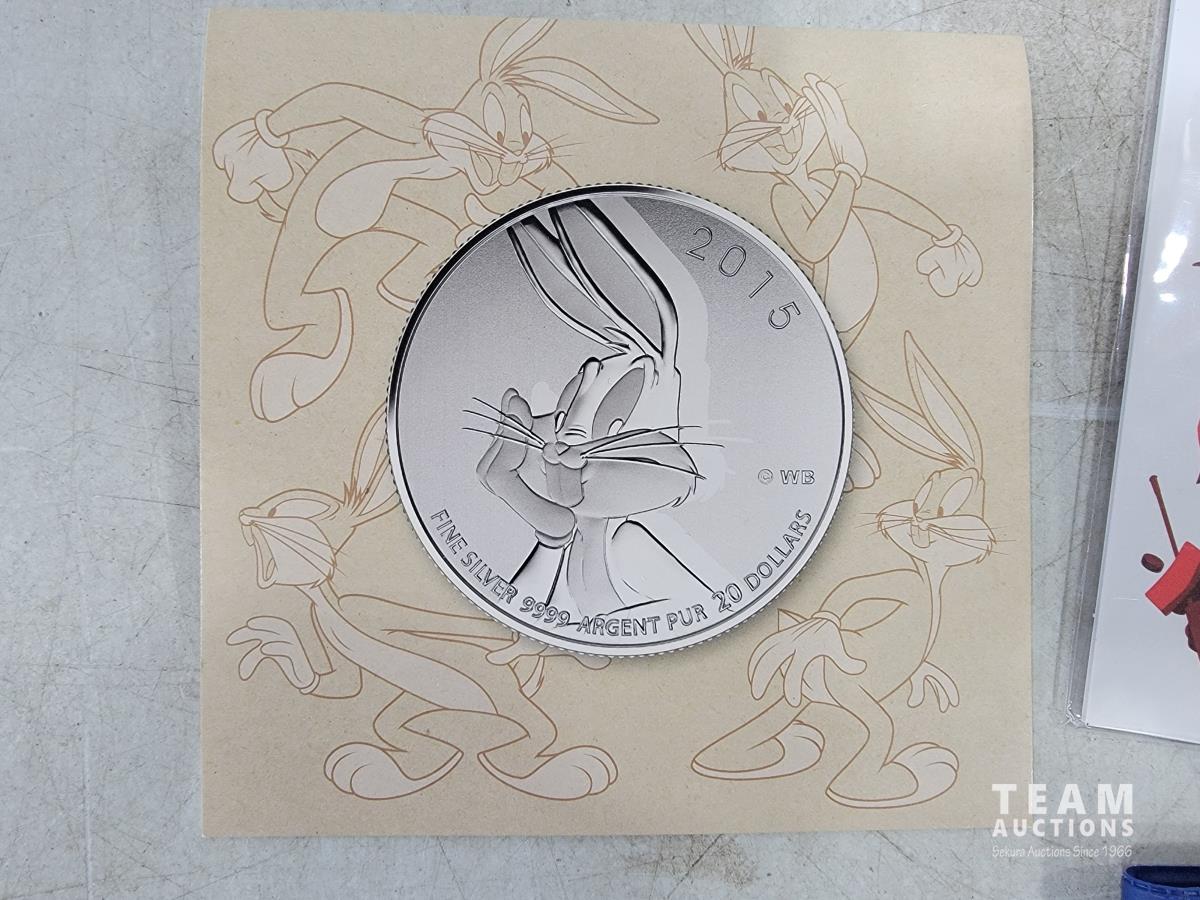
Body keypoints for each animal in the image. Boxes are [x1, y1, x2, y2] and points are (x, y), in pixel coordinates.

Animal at [211, 17, 658, 422]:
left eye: (529, 128)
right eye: (497, 122)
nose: (518, 152)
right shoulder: (420, 128)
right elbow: (339, 97)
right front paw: (251, 147)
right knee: (302, 309)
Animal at [227, 402, 616, 801]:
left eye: (297, 510)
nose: (246, 517)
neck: (330, 608)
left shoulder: (368, 606)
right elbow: (343, 685)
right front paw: (282, 646)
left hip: (509, 705)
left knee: (531, 737)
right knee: (403, 728)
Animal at [692, 332, 994, 809]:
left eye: (951, 505)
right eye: (922, 498)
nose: (921, 520)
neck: (933, 583)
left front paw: (928, 677)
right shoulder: (907, 583)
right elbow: (853, 592)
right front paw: (817, 634)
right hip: (847, 686)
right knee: (879, 729)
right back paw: (888, 782)